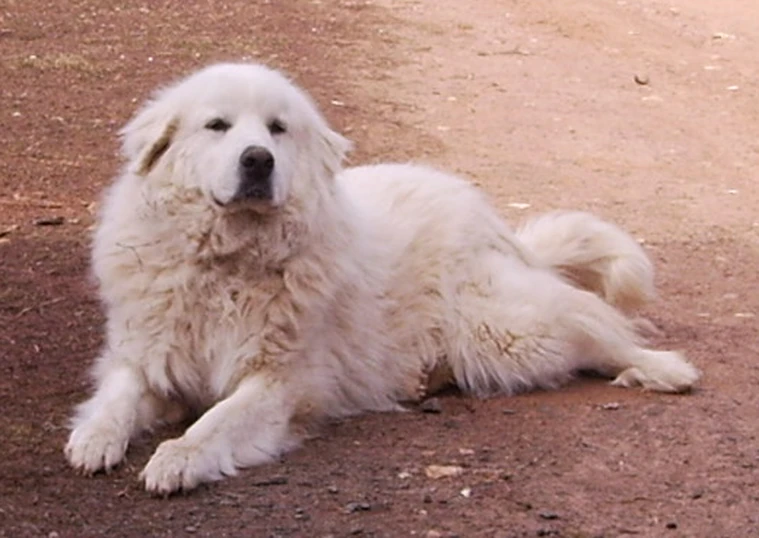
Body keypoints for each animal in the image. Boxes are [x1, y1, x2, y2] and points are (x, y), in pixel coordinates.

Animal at [65, 60, 700, 492]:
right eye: (216, 126)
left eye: (277, 129)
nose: (257, 160)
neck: (229, 262)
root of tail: (489, 217)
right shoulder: (148, 355)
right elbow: (118, 396)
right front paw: (94, 439)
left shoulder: (280, 382)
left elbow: (218, 421)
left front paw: (177, 457)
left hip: (504, 331)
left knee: (597, 325)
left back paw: (661, 369)